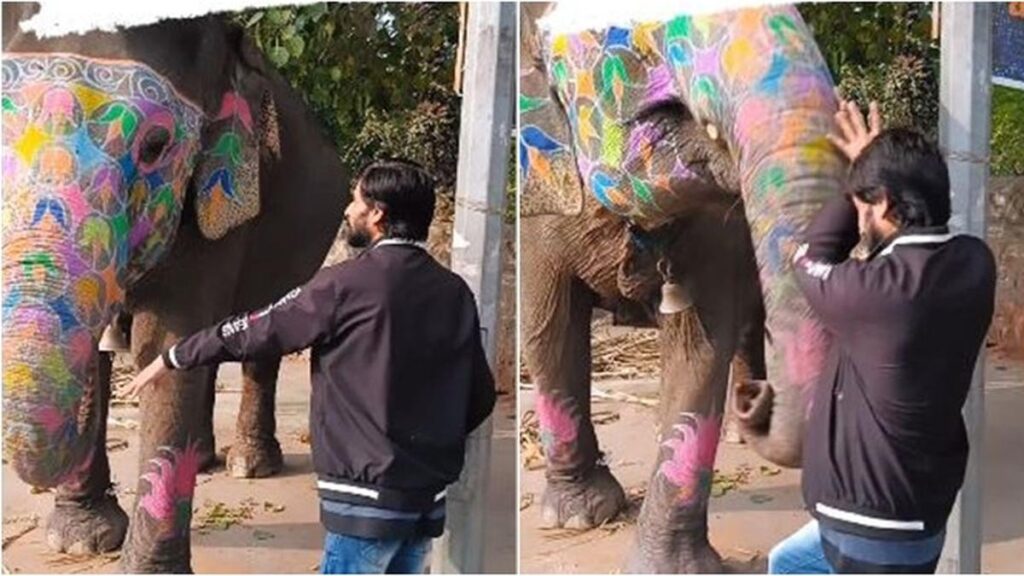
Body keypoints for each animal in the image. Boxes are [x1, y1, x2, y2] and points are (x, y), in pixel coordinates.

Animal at [2, 4, 350, 569]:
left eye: (155, 147)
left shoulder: (217, 200)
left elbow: (162, 346)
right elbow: (129, 354)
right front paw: (80, 540)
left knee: (260, 338)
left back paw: (249, 464)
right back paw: (206, 458)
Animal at [520, 4, 847, 569]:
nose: (762, 402)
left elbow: (698, 352)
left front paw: (669, 568)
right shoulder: (542, 193)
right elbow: (550, 330)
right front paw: (577, 515)